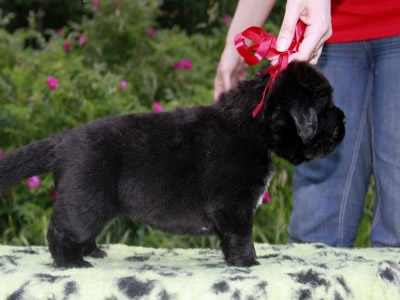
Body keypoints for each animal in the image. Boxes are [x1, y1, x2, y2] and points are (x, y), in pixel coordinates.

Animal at [0, 61, 344, 268]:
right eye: (325, 108)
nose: (344, 122)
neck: (251, 125)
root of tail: (64, 140)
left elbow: (229, 239)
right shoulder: (234, 206)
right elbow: (242, 236)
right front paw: (249, 263)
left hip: (91, 203)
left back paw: (92, 252)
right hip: (85, 201)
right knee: (60, 231)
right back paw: (71, 262)